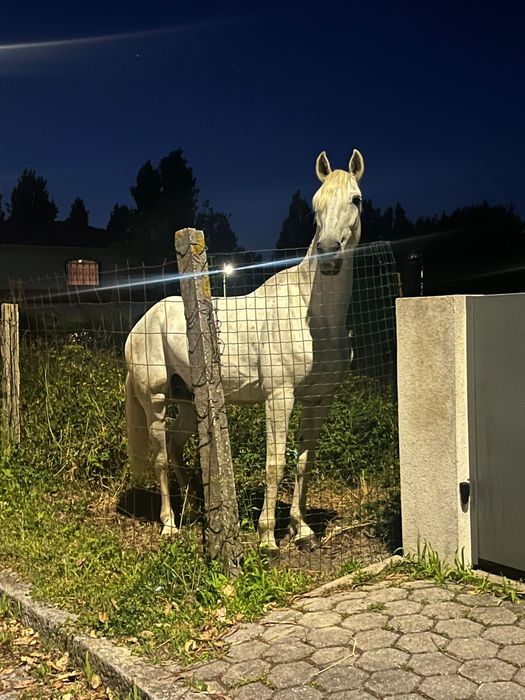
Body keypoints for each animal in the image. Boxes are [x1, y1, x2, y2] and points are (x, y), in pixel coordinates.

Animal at [124, 148, 365, 549]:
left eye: (356, 199)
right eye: (315, 204)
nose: (329, 254)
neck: (312, 315)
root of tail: (141, 323)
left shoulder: (319, 399)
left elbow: (304, 462)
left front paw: (302, 529)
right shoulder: (279, 397)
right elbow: (275, 463)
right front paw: (268, 537)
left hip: (187, 402)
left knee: (174, 446)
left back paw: (195, 508)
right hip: (154, 399)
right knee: (159, 455)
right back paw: (170, 523)